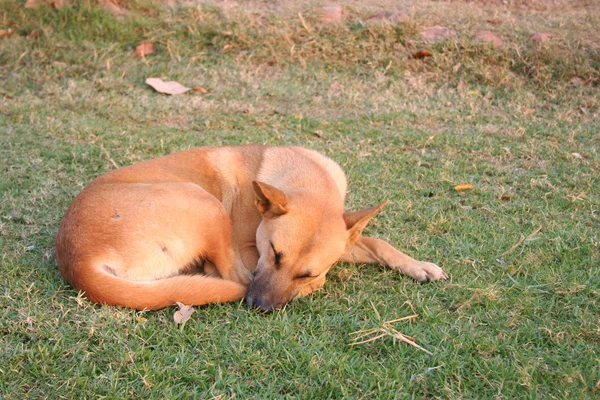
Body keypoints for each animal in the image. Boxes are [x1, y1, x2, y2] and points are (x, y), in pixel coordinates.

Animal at [56, 145, 448, 310]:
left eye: (305, 272)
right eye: (273, 253)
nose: (258, 306)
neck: (307, 176)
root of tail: (76, 259)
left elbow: (376, 240)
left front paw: (419, 266)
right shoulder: (247, 251)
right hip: (204, 204)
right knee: (229, 275)